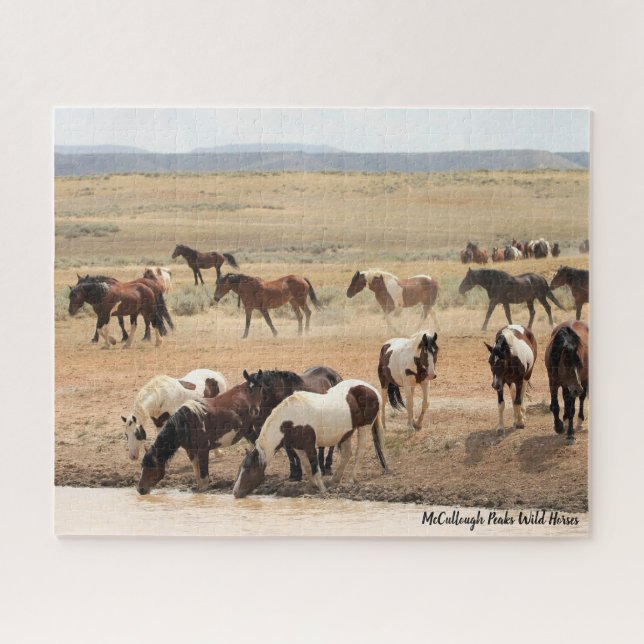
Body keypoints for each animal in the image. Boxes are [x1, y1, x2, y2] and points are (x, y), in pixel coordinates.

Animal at [232, 380, 388, 498]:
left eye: (250, 470)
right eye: (239, 469)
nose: (235, 492)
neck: (290, 419)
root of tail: (371, 389)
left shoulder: (310, 445)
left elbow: (315, 467)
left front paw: (322, 489)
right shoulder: (297, 447)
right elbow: (307, 466)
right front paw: (312, 485)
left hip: (364, 427)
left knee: (359, 452)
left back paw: (352, 478)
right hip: (346, 433)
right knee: (346, 454)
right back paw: (334, 479)